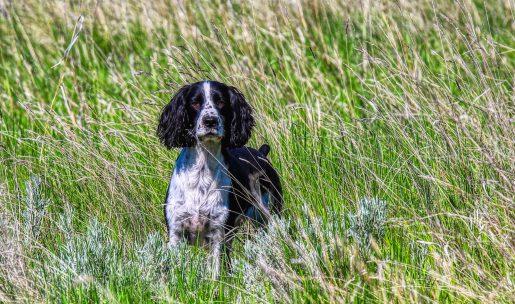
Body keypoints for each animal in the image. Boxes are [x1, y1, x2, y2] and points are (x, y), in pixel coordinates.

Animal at [157, 79, 284, 276]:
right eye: (195, 102)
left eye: (221, 102)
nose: (210, 120)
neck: (202, 172)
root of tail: (261, 153)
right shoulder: (176, 230)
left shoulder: (219, 232)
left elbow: (216, 271)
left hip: (268, 214)